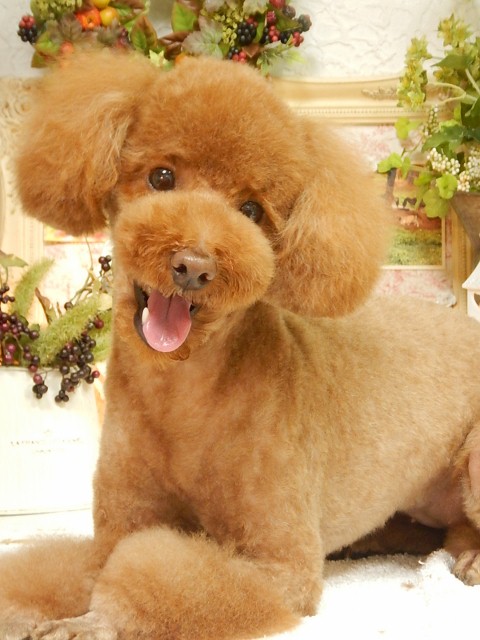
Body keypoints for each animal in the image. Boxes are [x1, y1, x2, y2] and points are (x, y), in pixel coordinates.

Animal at [1, 50, 480, 640]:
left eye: (251, 210)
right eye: (162, 176)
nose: (193, 266)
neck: (183, 397)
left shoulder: (280, 565)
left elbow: (150, 578)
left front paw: (93, 621)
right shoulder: (117, 527)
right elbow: (75, 569)